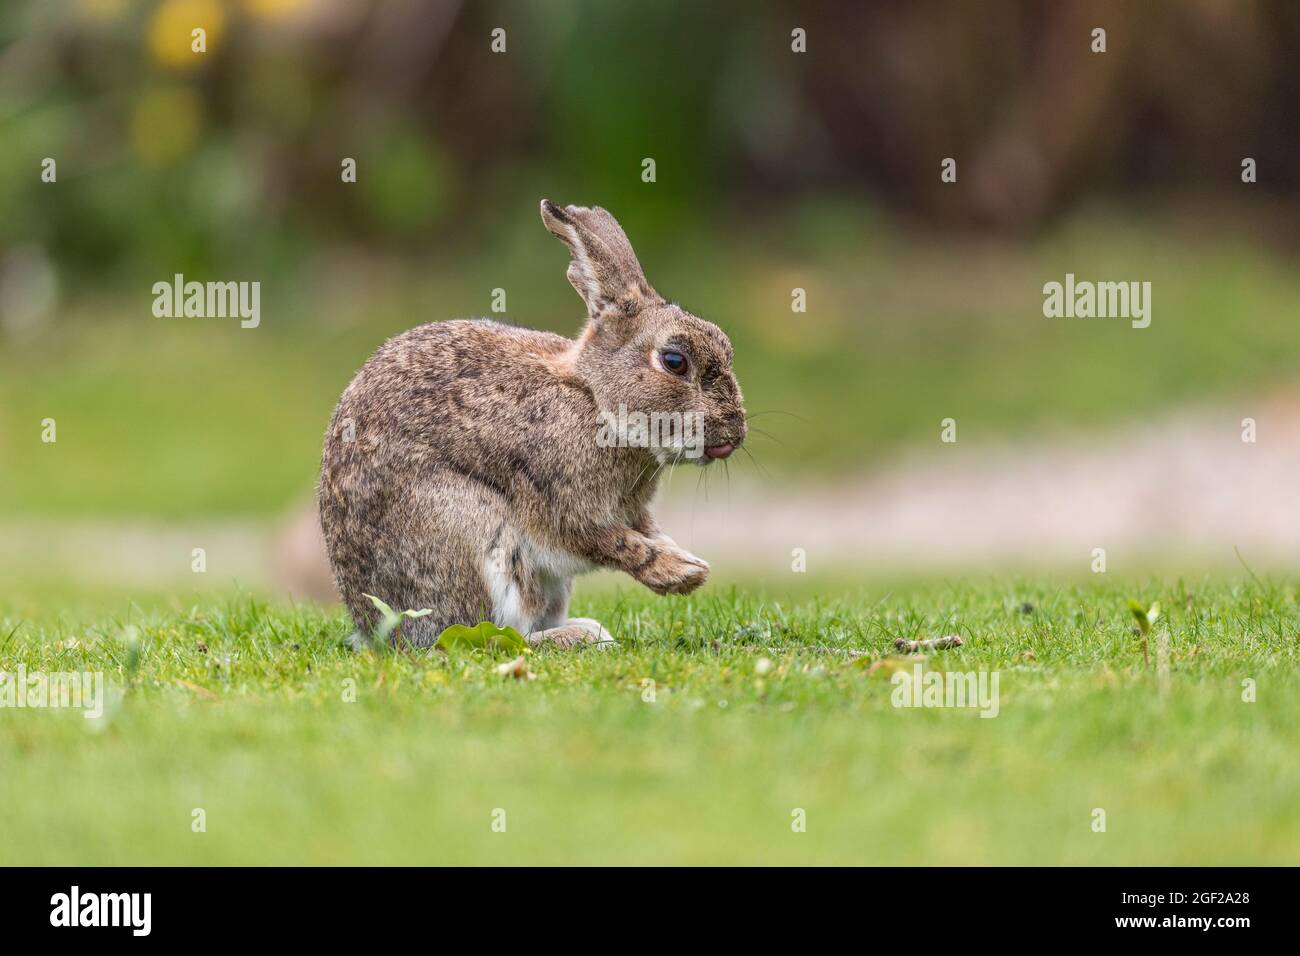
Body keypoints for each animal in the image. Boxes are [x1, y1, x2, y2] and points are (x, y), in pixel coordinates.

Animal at [318, 200, 747, 648]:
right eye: (674, 361)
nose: (734, 434)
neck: (593, 397)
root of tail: (370, 626)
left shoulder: (631, 510)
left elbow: (646, 530)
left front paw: (688, 562)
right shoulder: (565, 508)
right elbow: (614, 542)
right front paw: (682, 574)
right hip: (465, 527)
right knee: (487, 634)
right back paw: (583, 635)